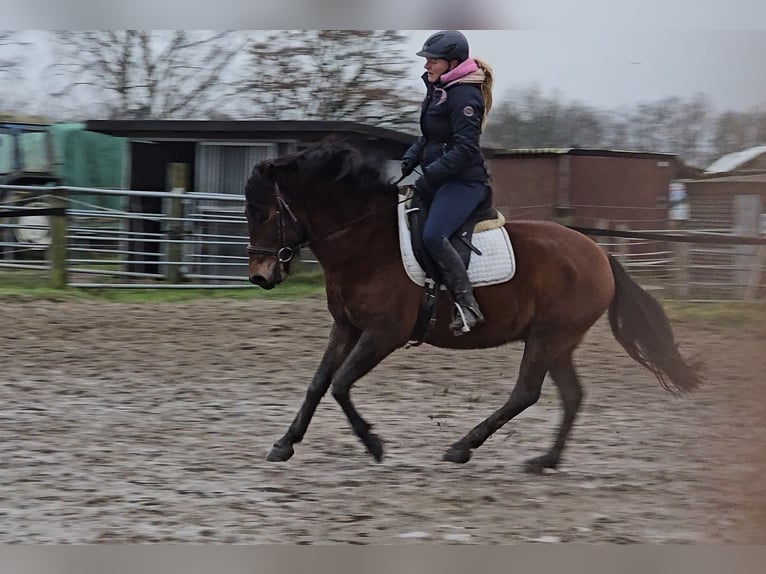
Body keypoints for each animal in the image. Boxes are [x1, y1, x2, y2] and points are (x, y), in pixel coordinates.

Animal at [246, 141, 704, 472]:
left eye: (265, 214)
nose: (260, 277)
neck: (366, 241)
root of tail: (599, 253)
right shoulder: (346, 326)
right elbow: (318, 383)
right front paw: (284, 444)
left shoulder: (383, 334)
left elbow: (340, 384)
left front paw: (374, 444)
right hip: (559, 342)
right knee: (571, 395)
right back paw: (546, 460)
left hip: (549, 336)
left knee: (525, 393)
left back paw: (462, 447)